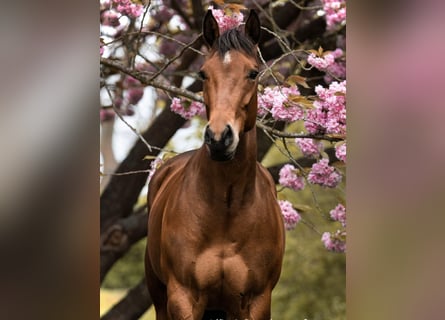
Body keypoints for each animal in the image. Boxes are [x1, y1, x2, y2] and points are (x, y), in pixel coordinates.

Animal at [146, 10, 284, 320]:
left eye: (253, 73)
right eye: (203, 73)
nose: (220, 138)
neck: (226, 209)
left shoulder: (257, 301)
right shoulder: (182, 297)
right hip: (160, 298)